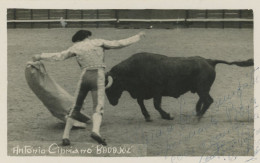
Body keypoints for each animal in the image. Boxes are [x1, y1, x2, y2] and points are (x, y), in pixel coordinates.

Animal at [104, 52, 253, 121]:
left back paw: (198, 117)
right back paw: (197, 112)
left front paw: (167, 116)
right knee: (204, 99)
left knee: (208, 100)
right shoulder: (142, 93)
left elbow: (156, 105)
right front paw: (147, 117)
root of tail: (209, 61)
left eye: (111, 86)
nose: (112, 102)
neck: (134, 69)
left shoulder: (157, 91)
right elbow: (141, 103)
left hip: (202, 88)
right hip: (201, 89)